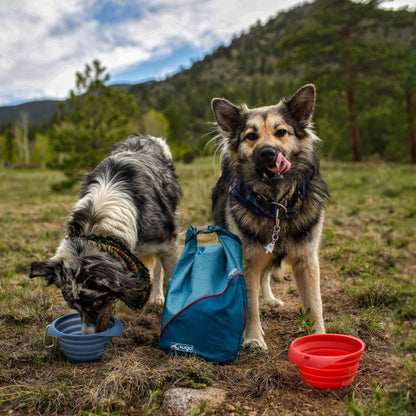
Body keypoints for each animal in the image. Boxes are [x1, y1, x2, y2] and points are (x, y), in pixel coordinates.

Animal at [30, 135, 180, 334]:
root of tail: (144, 137)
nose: (86, 336)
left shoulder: (166, 243)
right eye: (74, 308)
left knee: (158, 268)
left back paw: (157, 297)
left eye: (94, 305)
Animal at [211, 83, 328, 348]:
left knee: (266, 276)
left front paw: (320, 338)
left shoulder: (307, 260)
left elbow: (315, 304)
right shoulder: (248, 260)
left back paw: (271, 298)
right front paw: (253, 338)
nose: (267, 153)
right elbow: (250, 304)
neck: (276, 204)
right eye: (251, 136)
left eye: (281, 132)